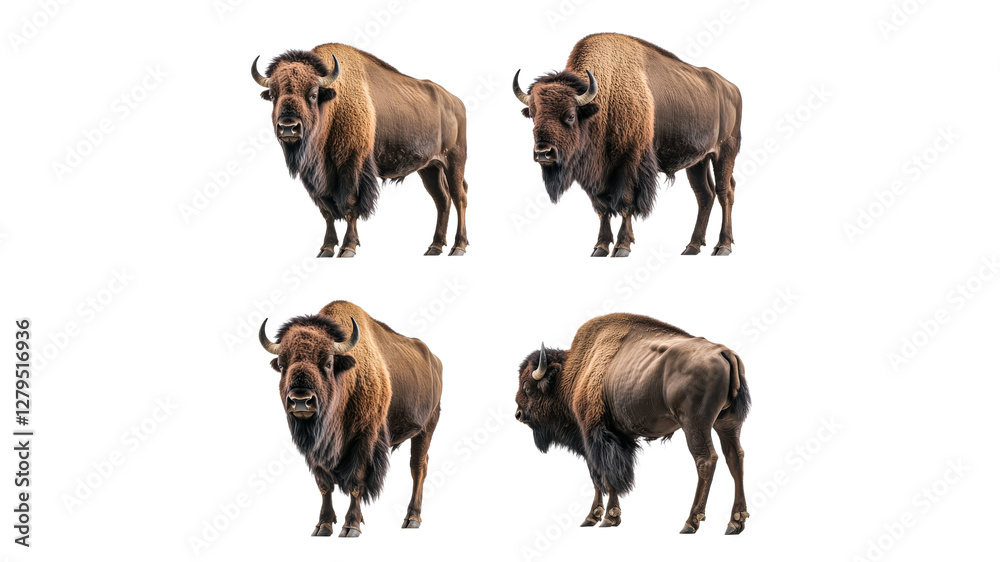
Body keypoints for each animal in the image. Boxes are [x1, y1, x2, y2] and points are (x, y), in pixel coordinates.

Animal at [252, 44, 469, 257]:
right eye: (273, 95)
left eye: (313, 94)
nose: (288, 127)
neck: (333, 104)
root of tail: (457, 103)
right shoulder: (316, 177)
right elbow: (327, 211)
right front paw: (326, 248)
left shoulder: (352, 166)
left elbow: (349, 206)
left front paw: (348, 248)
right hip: (430, 167)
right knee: (442, 199)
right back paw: (435, 247)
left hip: (454, 160)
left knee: (459, 197)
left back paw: (458, 247)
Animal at [259, 300, 443, 536]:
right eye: (282, 365)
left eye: (328, 363)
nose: (301, 400)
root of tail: (434, 360)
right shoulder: (316, 450)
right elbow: (324, 485)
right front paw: (323, 526)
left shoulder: (363, 440)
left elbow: (356, 482)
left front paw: (351, 526)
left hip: (426, 428)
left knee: (418, 467)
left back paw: (411, 519)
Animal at [513, 33, 743, 256]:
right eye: (532, 115)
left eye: (570, 115)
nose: (544, 152)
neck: (602, 102)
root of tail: (732, 89)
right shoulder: (595, 175)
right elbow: (602, 208)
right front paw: (600, 247)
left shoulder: (629, 163)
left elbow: (625, 203)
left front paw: (622, 246)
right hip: (698, 161)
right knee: (704, 194)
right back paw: (692, 247)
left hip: (725, 152)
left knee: (724, 192)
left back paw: (723, 247)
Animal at [514, 313, 751, 533]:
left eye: (527, 387)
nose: (518, 414)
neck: (575, 371)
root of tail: (724, 352)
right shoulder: (614, 439)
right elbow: (600, 477)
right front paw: (595, 517)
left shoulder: (594, 435)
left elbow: (604, 475)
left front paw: (606, 518)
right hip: (727, 424)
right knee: (735, 456)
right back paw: (735, 521)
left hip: (695, 425)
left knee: (706, 460)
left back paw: (691, 522)